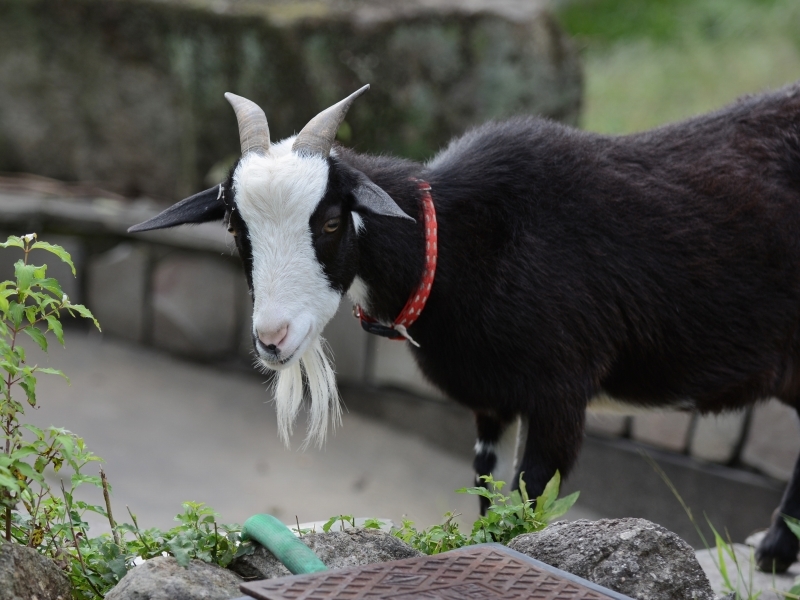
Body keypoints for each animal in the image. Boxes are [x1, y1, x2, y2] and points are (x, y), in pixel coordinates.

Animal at [133, 81, 800, 572]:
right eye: (232, 224)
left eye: (329, 221)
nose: (272, 340)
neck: (464, 243)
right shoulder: (491, 400)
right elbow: (484, 492)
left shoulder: (560, 391)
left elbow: (530, 499)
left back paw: (772, 552)